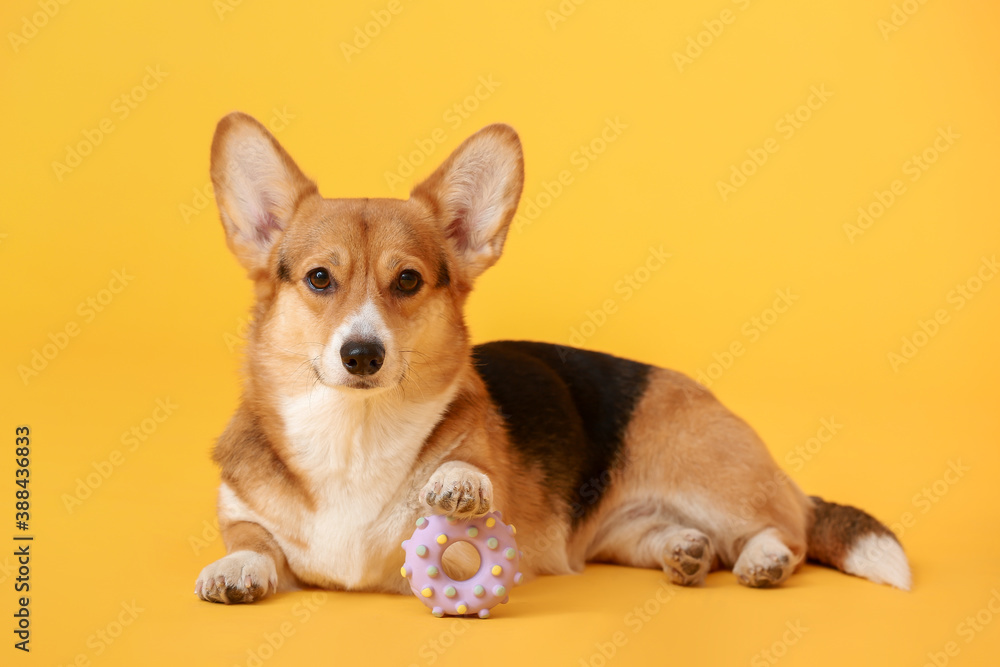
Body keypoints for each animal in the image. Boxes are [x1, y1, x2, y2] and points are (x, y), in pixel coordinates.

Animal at [191, 112, 912, 604]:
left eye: (408, 281)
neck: (352, 432)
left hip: (718, 479)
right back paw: (685, 549)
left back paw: (763, 558)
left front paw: (460, 482)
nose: (362, 354)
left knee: (788, 526)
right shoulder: (243, 513)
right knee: (684, 539)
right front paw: (237, 568)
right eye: (319, 278)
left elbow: (459, 485)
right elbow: (254, 540)